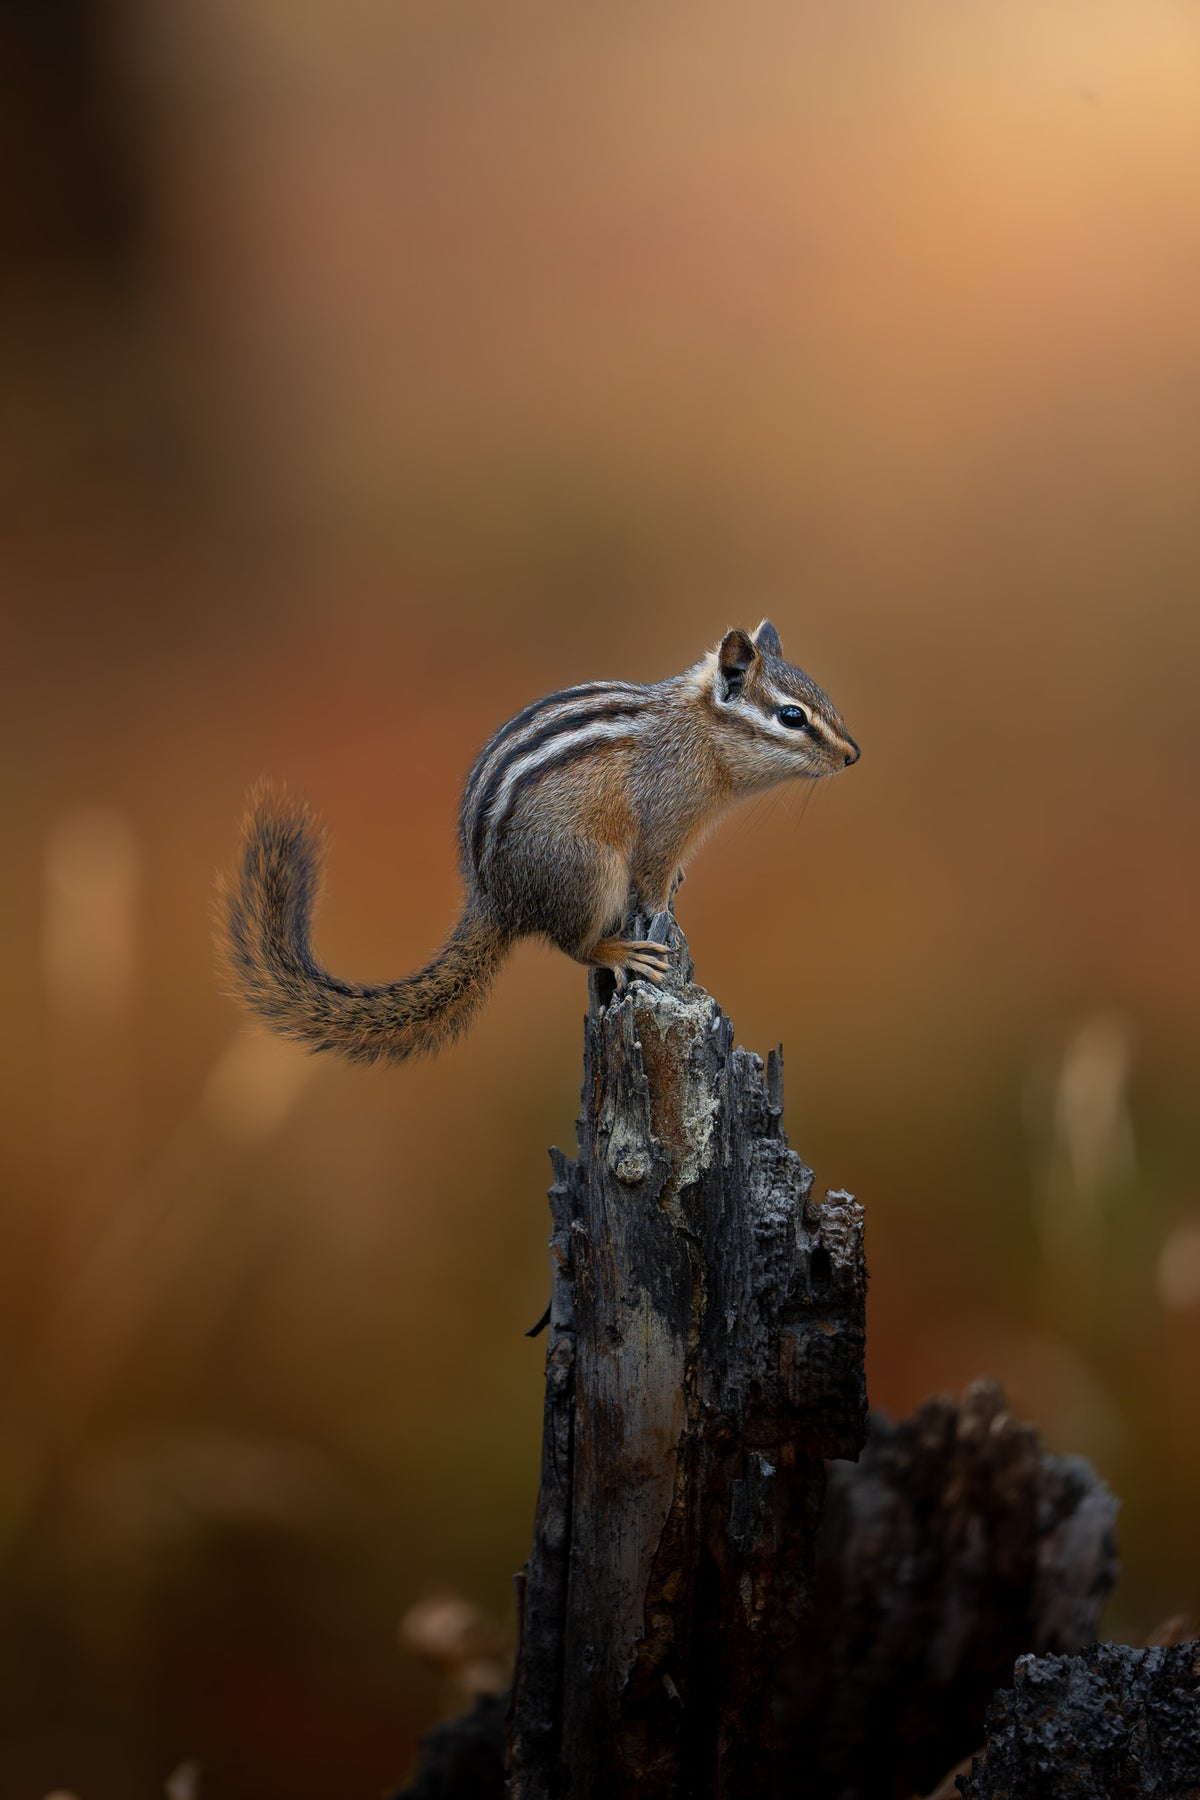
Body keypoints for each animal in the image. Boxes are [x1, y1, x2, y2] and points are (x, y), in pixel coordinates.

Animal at [218, 620, 859, 1065]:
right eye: (792, 717)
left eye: (823, 699)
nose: (853, 755)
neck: (698, 733)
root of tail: (493, 897)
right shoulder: (665, 822)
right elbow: (653, 881)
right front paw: (663, 913)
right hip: (589, 872)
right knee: (572, 943)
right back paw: (617, 951)